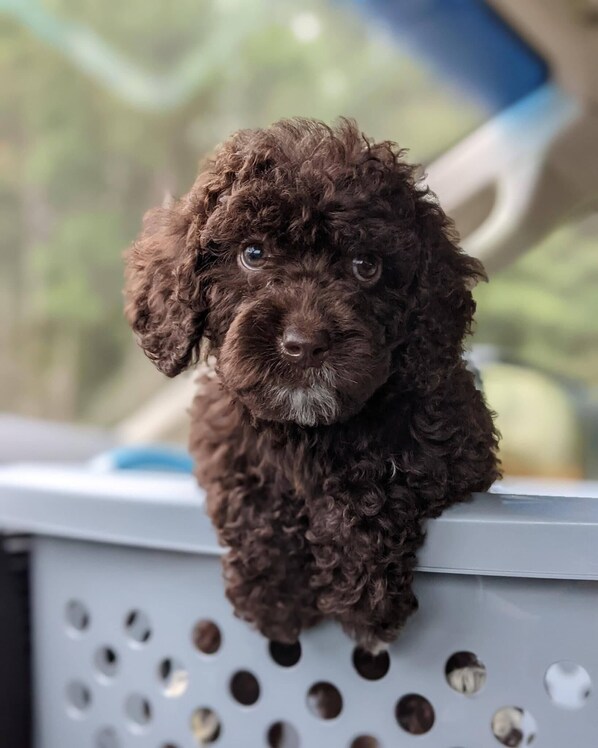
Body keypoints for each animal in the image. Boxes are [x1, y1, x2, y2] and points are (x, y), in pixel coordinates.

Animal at [125, 117, 502, 648]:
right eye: (253, 253)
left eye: (366, 266)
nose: (303, 345)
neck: (307, 428)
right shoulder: (222, 438)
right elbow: (251, 491)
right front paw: (276, 596)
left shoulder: (452, 447)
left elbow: (378, 479)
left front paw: (362, 600)